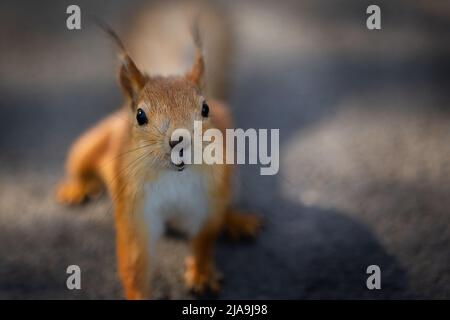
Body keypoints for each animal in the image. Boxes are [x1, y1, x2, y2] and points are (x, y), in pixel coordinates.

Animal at [57, 5, 260, 300]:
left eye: (206, 108)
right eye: (140, 115)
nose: (180, 141)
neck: (174, 176)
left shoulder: (208, 198)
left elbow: (205, 238)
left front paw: (201, 273)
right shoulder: (135, 206)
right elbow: (134, 258)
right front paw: (139, 294)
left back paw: (236, 219)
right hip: (92, 142)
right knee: (81, 162)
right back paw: (77, 187)